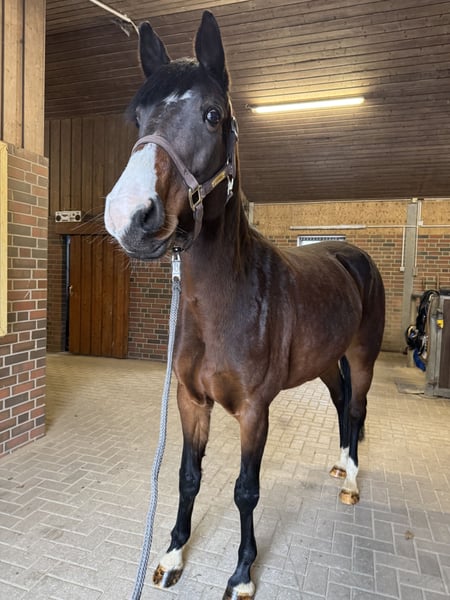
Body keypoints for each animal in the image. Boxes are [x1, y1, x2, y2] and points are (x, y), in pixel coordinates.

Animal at [104, 11, 385, 600]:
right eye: (137, 118)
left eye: (213, 115)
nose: (128, 215)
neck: (226, 303)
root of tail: (350, 253)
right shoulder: (191, 402)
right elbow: (188, 477)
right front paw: (171, 555)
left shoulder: (256, 412)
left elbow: (245, 490)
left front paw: (241, 574)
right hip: (325, 363)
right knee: (340, 402)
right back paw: (338, 464)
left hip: (363, 356)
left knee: (356, 407)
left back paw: (351, 481)